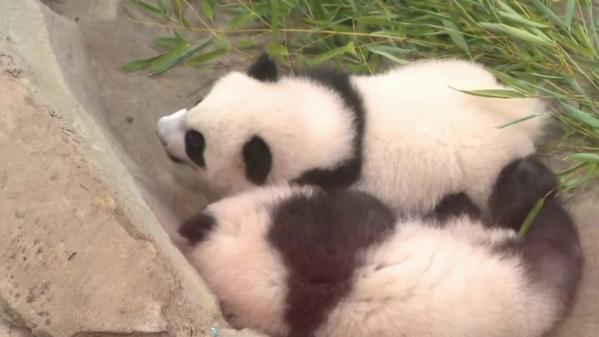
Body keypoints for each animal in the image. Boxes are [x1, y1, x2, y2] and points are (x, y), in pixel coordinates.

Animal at [158, 53, 548, 214]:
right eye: (199, 100)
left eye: (195, 144)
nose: (160, 131)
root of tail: (524, 120)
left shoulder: (326, 186)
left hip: (483, 179)